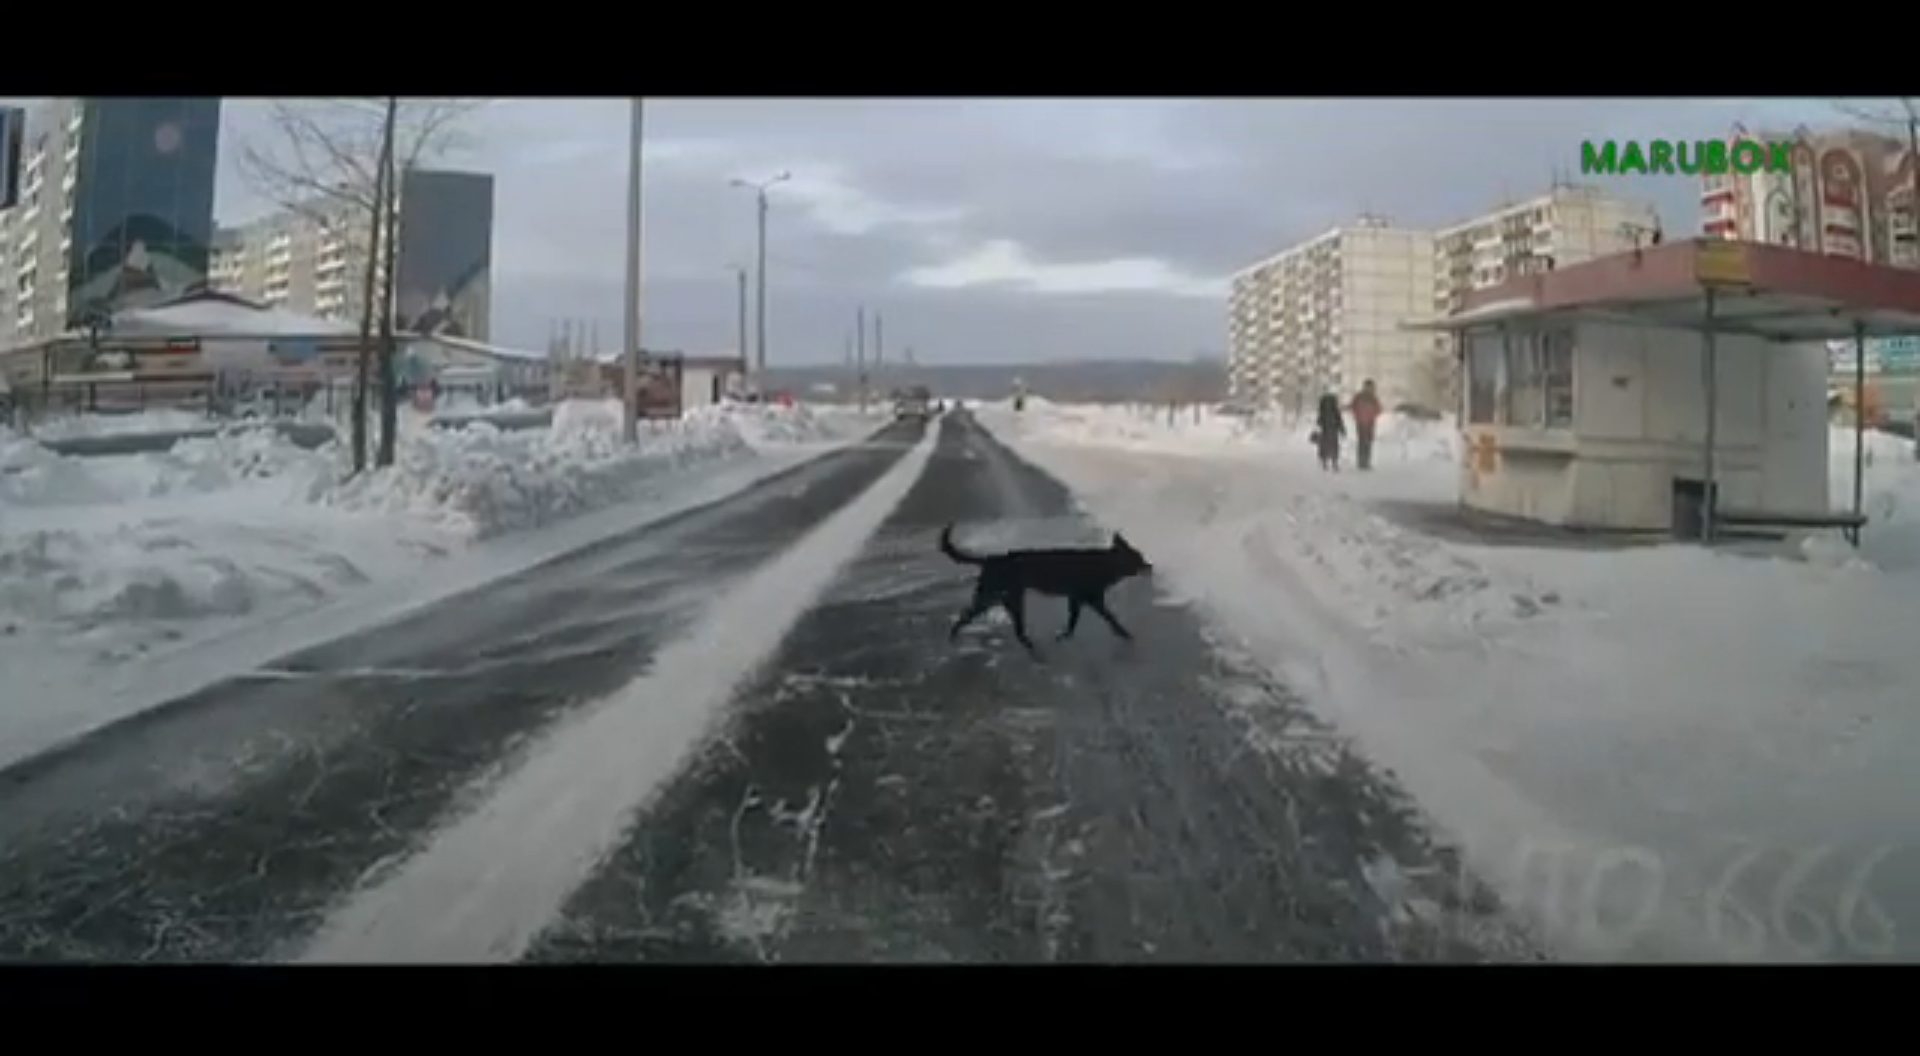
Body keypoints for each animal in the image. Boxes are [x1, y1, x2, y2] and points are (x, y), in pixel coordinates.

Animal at [939, 523, 1152, 654]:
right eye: (1139, 558)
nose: (1150, 566)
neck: (1107, 563)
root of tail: (990, 558)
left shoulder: (1076, 599)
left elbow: (1074, 622)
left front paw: (1064, 636)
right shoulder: (1091, 600)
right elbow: (1110, 618)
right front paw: (1125, 634)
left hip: (1003, 600)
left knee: (1012, 629)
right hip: (994, 598)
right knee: (967, 617)